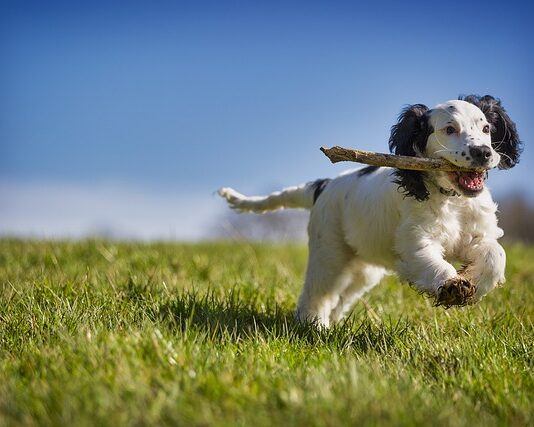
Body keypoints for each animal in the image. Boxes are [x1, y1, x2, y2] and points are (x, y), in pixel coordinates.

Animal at [219, 94, 524, 328]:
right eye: (449, 130)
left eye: (486, 129)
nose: (484, 153)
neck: (451, 199)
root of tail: (323, 185)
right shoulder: (415, 241)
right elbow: (431, 261)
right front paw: (451, 286)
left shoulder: (478, 234)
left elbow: (496, 255)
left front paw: (473, 283)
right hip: (329, 253)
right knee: (317, 293)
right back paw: (313, 326)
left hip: (363, 270)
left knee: (341, 297)